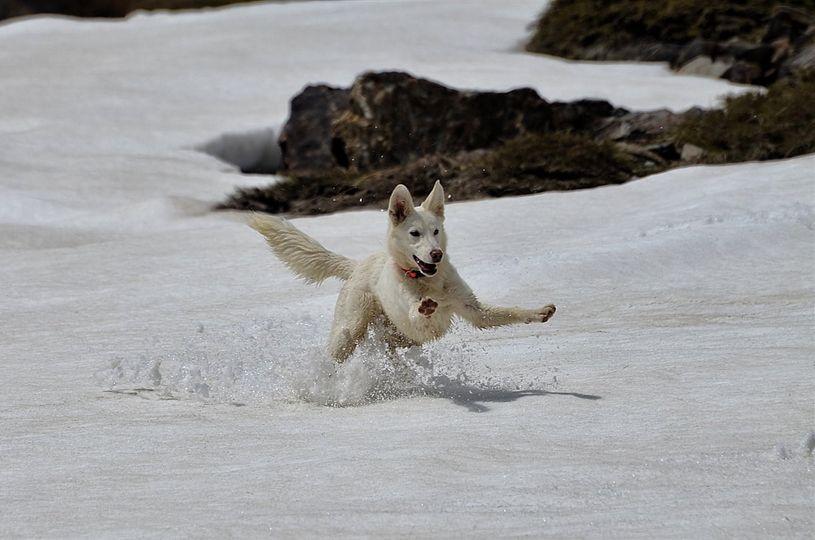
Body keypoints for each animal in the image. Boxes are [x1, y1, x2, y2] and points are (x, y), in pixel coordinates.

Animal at [249, 181, 556, 362]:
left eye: (436, 231)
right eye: (414, 233)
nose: (436, 254)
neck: (429, 282)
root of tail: (358, 265)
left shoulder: (473, 310)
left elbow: (508, 312)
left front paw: (539, 312)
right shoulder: (415, 318)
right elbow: (418, 313)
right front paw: (425, 306)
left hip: (393, 340)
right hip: (350, 329)